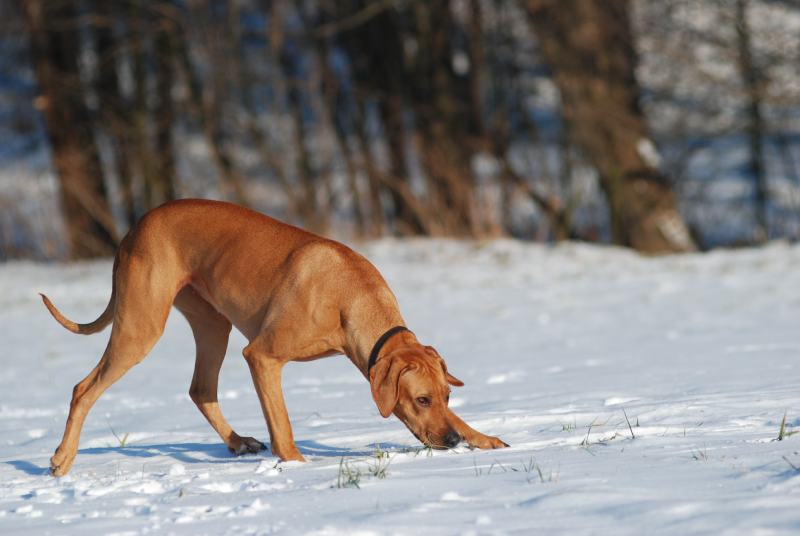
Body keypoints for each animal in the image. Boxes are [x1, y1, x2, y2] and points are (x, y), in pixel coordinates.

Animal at [40, 199, 506, 476]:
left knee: (201, 389)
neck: (351, 297)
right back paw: (62, 459)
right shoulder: (262, 356)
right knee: (84, 388)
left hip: (213, 324)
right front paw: (297, 465)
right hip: (141, 325)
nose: (450, 442)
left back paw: (237, 442)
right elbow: (282, 422)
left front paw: (480, 437)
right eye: (422, 400)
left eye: (447, 397)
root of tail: (134, 228)